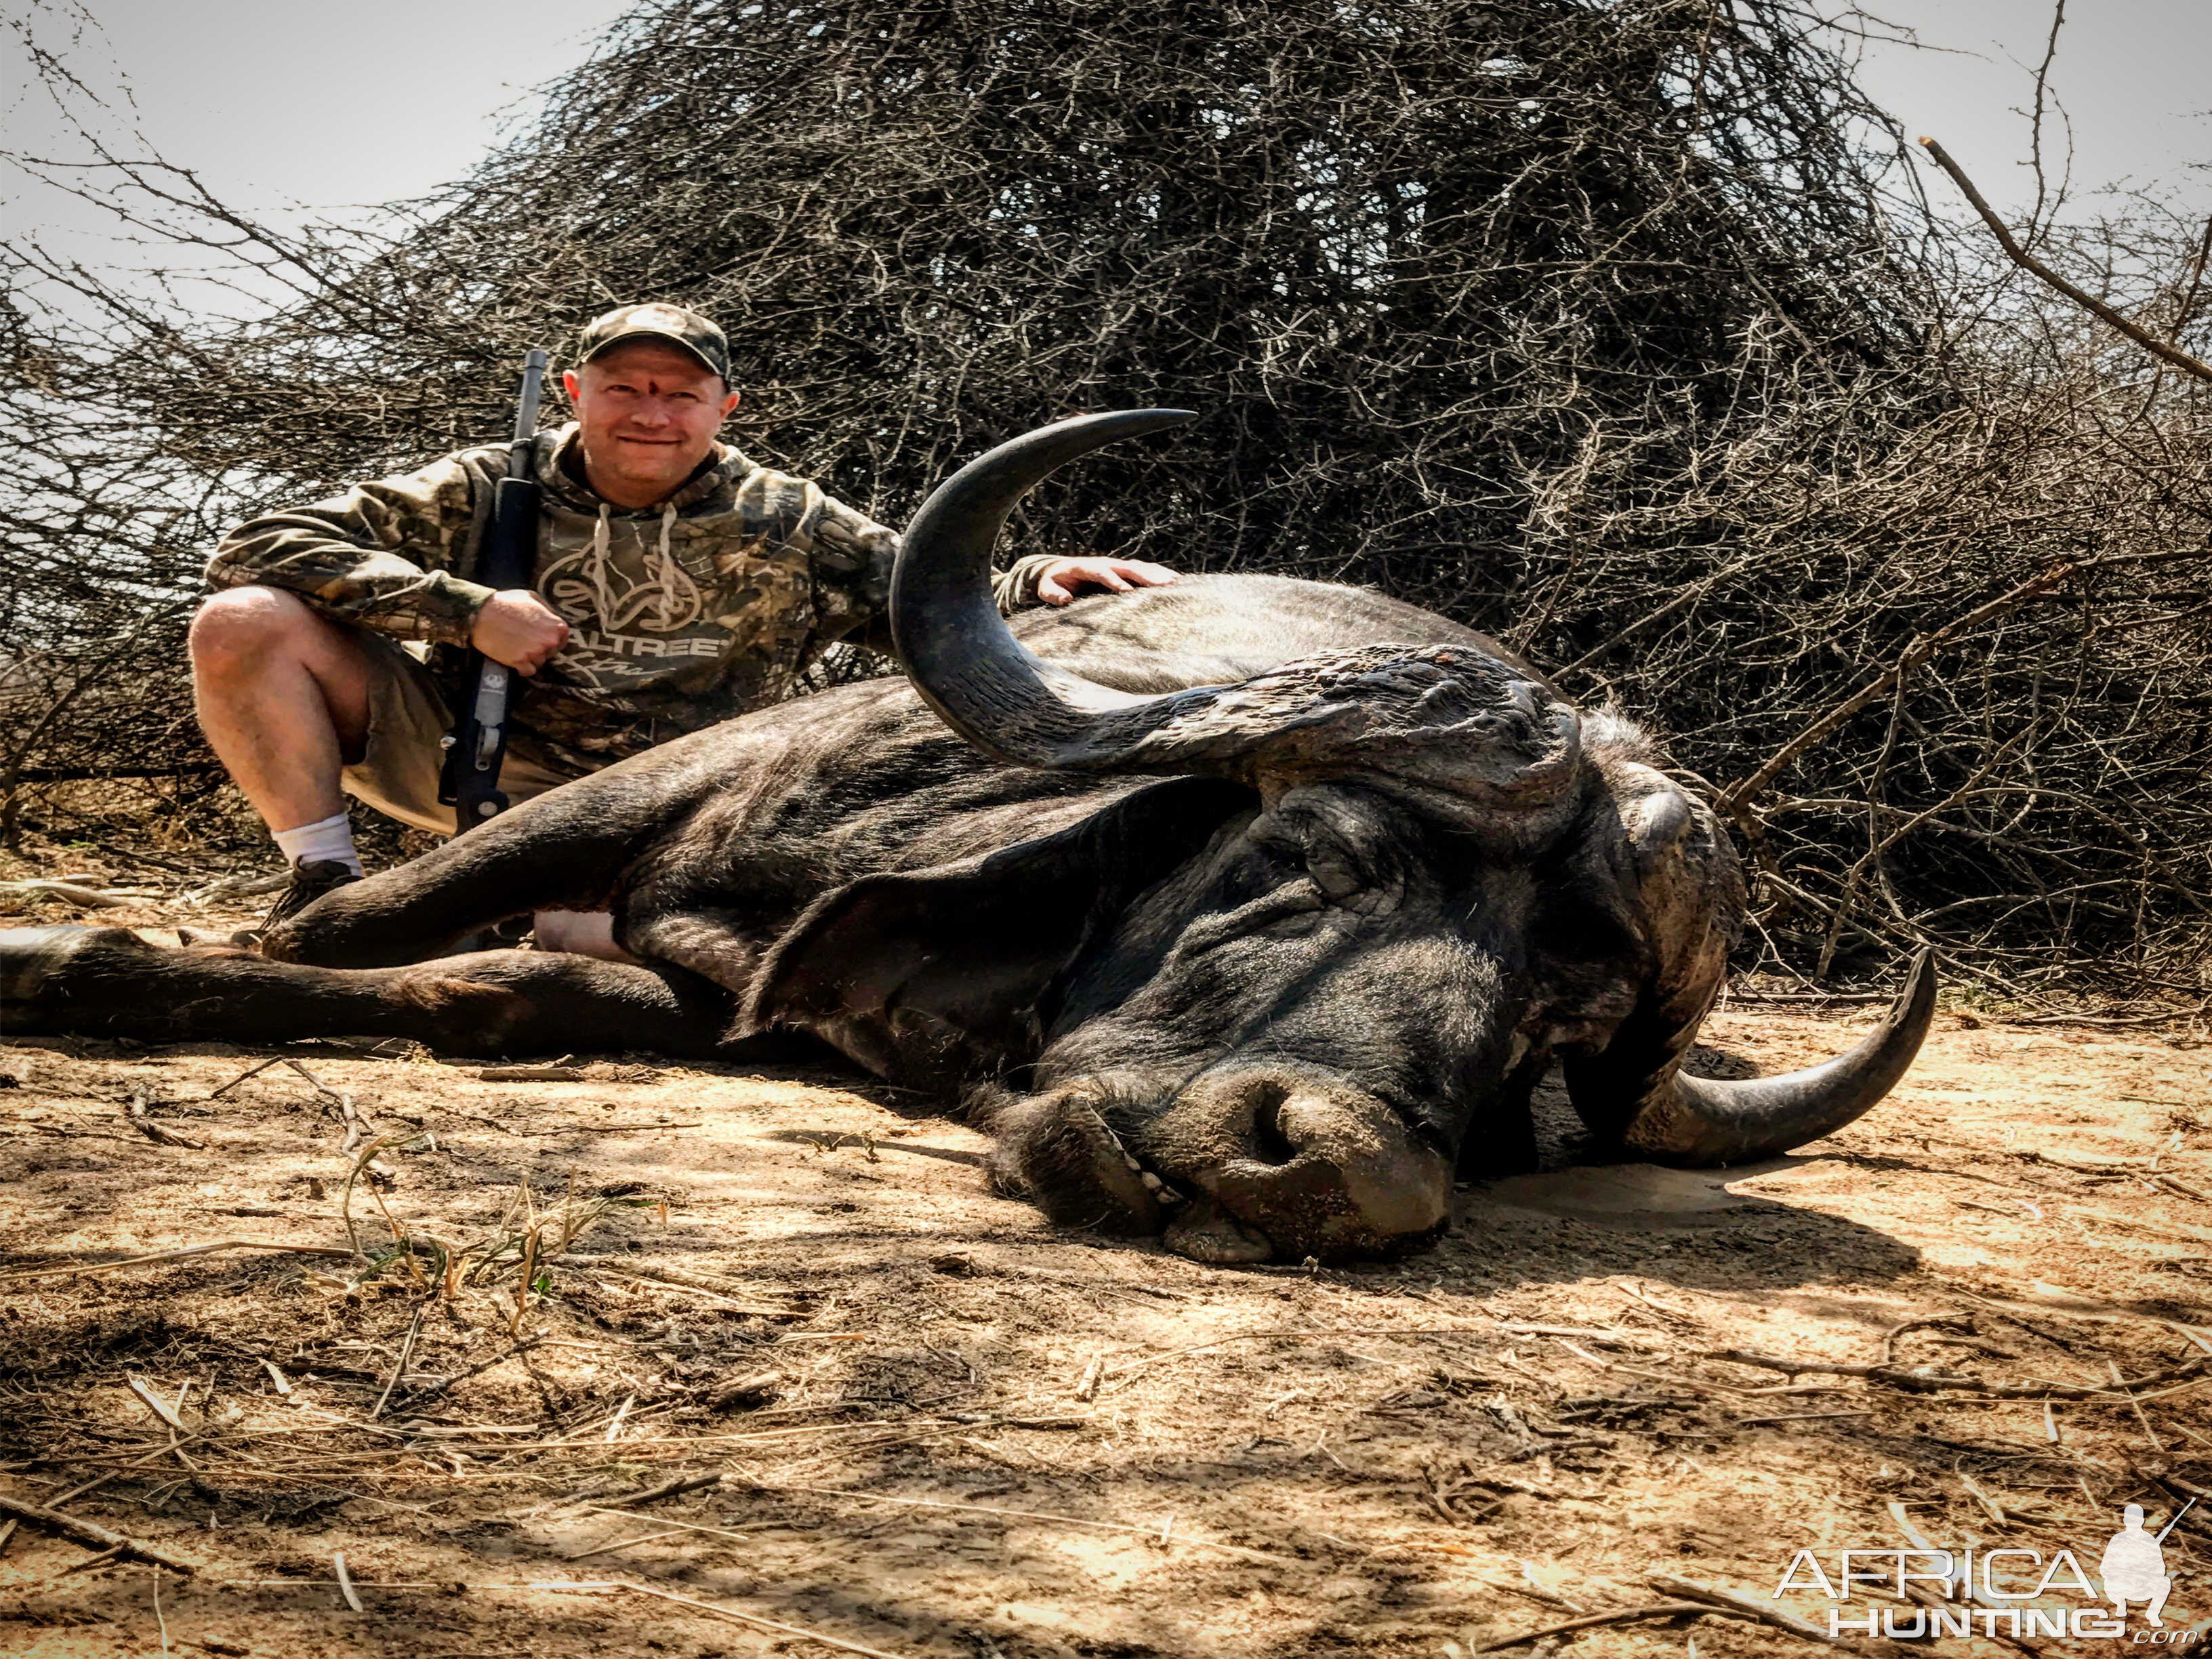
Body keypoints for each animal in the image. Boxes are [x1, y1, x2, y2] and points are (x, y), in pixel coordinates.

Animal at [0, 413, 1929, 1256]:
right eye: (1306, 856)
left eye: (1552, 1021)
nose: (1341, 1174)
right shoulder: (639, 803)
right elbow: (337, 935)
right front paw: (73, 954)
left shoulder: (708, 991)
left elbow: (503, 996)